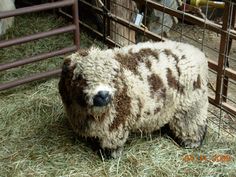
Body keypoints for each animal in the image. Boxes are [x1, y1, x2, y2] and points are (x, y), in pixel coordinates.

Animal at [59, 40, 208, 158]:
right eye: (79, 77)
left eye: (113, 77)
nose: (103, 95)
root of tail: (197, 52)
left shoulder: (117, 123)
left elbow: (112, 144)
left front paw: (109, 155)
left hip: (191, 104)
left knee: (193, 124)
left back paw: (191, 142)